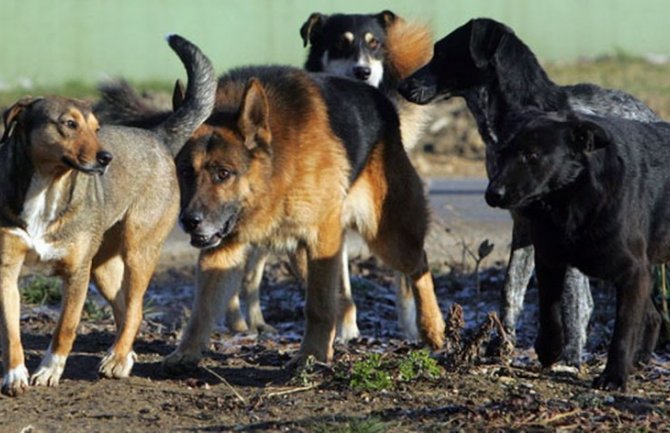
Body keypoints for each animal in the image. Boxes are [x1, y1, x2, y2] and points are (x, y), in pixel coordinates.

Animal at [0, 34, 215, 394]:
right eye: (68, 124)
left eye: (96, 128)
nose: (106, 158)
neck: (47, 188)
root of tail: (156, 135)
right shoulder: (6, 271)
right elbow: (10, 331)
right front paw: (15, 374)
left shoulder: (77, 274)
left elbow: (66, 327)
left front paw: (50, 371)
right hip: (103, 266)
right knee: (126, 308)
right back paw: (123, 356)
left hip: (138, 249)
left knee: (137, 308)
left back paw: (116, 359)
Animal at [161, 66, 446, 370]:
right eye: (186, 172)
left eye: (223, 174)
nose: (189, 221)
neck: (277, 169)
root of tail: (383, 102)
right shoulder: (221, 251)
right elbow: (201, 309)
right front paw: (186, 352)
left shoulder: (322, 238)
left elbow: (318, 306)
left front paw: (312, 354)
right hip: (302, 255)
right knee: (340, 296)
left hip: (387, 238)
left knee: (418, 263)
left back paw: (433, 328)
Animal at [400, 18, 660, 366]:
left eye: (441, 51)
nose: (402, 86)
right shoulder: (524, 224)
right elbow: (511, 291)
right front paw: (501, 347)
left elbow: (575, 304)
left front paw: (569, 357)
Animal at [488, 109, 668, 390]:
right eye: (503, 154)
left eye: (532, 155)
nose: (492, 194)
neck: (571, 200)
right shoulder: (548, 259)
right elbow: (549, 309)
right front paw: (549, 348)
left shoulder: (634, 274)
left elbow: (623, 332)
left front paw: (613, 377)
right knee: (652, 316)